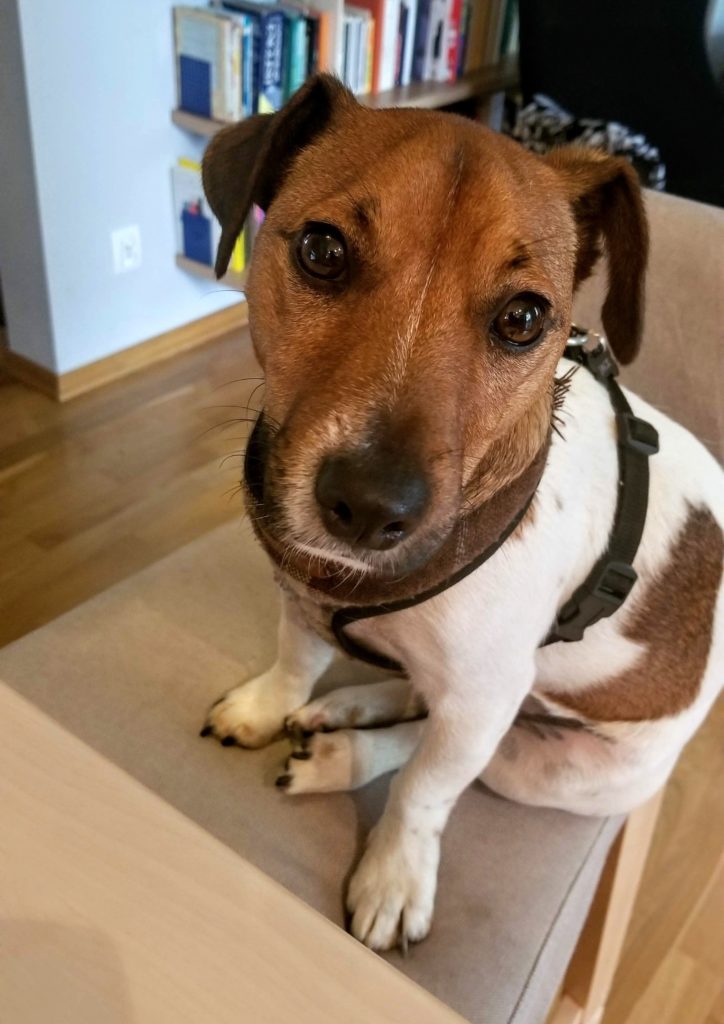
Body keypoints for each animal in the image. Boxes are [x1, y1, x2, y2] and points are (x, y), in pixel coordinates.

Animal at [198, 77, 724, 950]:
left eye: (524, 318)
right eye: (322, 251)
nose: (368, 507)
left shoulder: (483, 698)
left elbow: (424, 792)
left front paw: (393, 874)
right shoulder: (301, 597)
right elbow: (295, 660)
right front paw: (270, 705)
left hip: (554, 766)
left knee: (433, 749)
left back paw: (343, 757)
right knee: (413, 704)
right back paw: (351, 706)